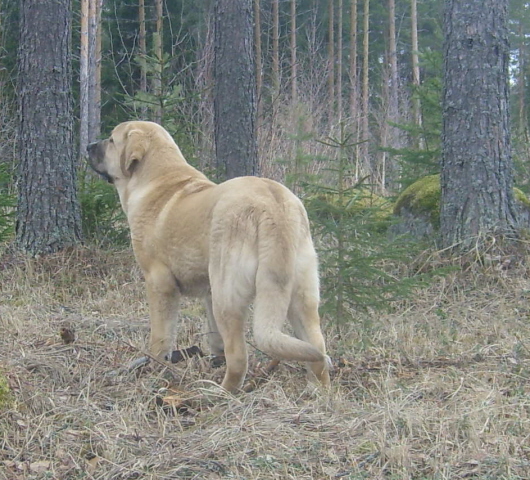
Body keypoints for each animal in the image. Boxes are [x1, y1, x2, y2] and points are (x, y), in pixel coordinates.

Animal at [87, 122, 330, 392]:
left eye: (111, 140)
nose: (87, 146)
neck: (157, 180)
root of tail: (273, 206)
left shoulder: (159, 283)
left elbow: (161, 336)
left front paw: (154, 366)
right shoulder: (208, 291)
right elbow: (214, 335)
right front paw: (214, 359)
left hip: (228, 295)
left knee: (239, 357)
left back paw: (219, 392)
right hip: (301, 295)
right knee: (317, 348)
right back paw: (318, 390)